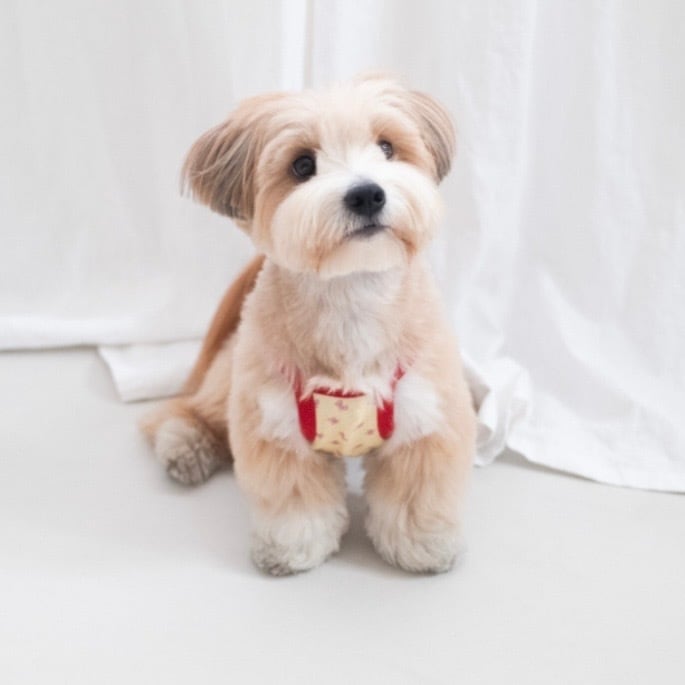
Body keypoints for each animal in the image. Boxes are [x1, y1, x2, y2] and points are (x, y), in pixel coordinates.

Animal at [142, 74, 476, 575]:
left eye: (387, 147)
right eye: (302, 165)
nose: (367, 193)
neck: (351, 298)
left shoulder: (426, 418)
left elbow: (416, 495)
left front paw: (423, 546)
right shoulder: (275, 425)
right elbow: (296, 501)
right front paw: (291, 550)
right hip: (231, 381)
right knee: (186, 409)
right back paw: (183, 445)